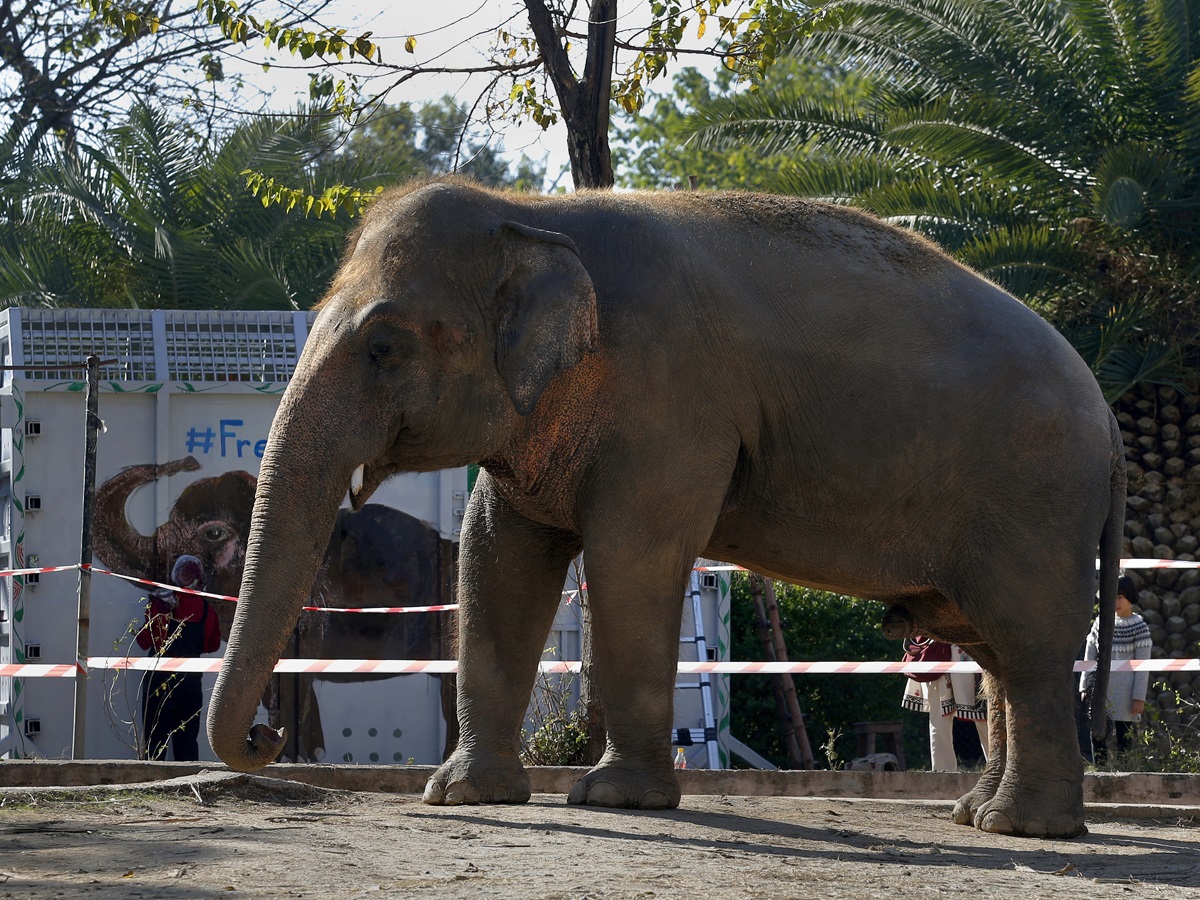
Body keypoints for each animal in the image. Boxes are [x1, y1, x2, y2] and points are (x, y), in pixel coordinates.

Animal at [208, 180, 1123, 844]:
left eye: (383, 347)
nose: (267, 739)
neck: (533, 212)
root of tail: (1108, 413)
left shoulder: (672, 398)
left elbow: (631, 557)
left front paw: (615, 800)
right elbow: (496, 556)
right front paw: (464, 796)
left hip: (1036, 495)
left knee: (1026, 646)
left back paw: (1024, 828)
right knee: (993, 650)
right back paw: (977, 817)